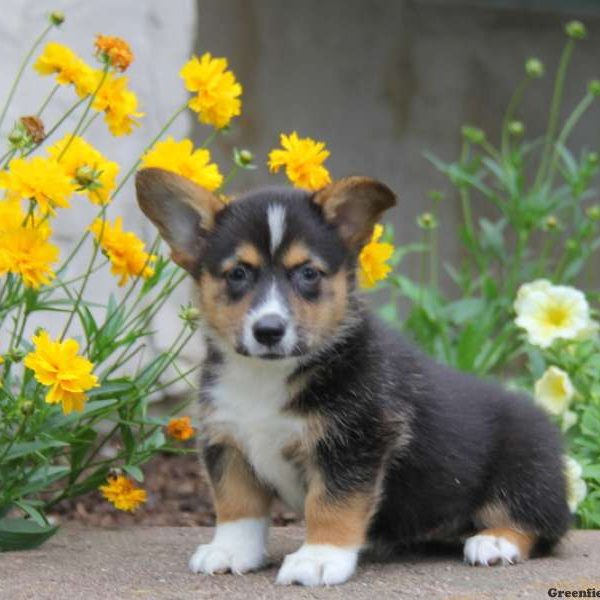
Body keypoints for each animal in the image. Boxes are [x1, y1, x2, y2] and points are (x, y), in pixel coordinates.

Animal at [137, 168, 572, 584]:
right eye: (238, 273)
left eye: (308, 273)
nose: (269, 330)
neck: (268, 375)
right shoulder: (228, 441)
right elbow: (236, 505)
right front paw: (230, 552)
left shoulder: (354, 443)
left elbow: (331, 505)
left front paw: (319, 559)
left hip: (526, 469)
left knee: (543, 525)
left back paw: (495, 542)